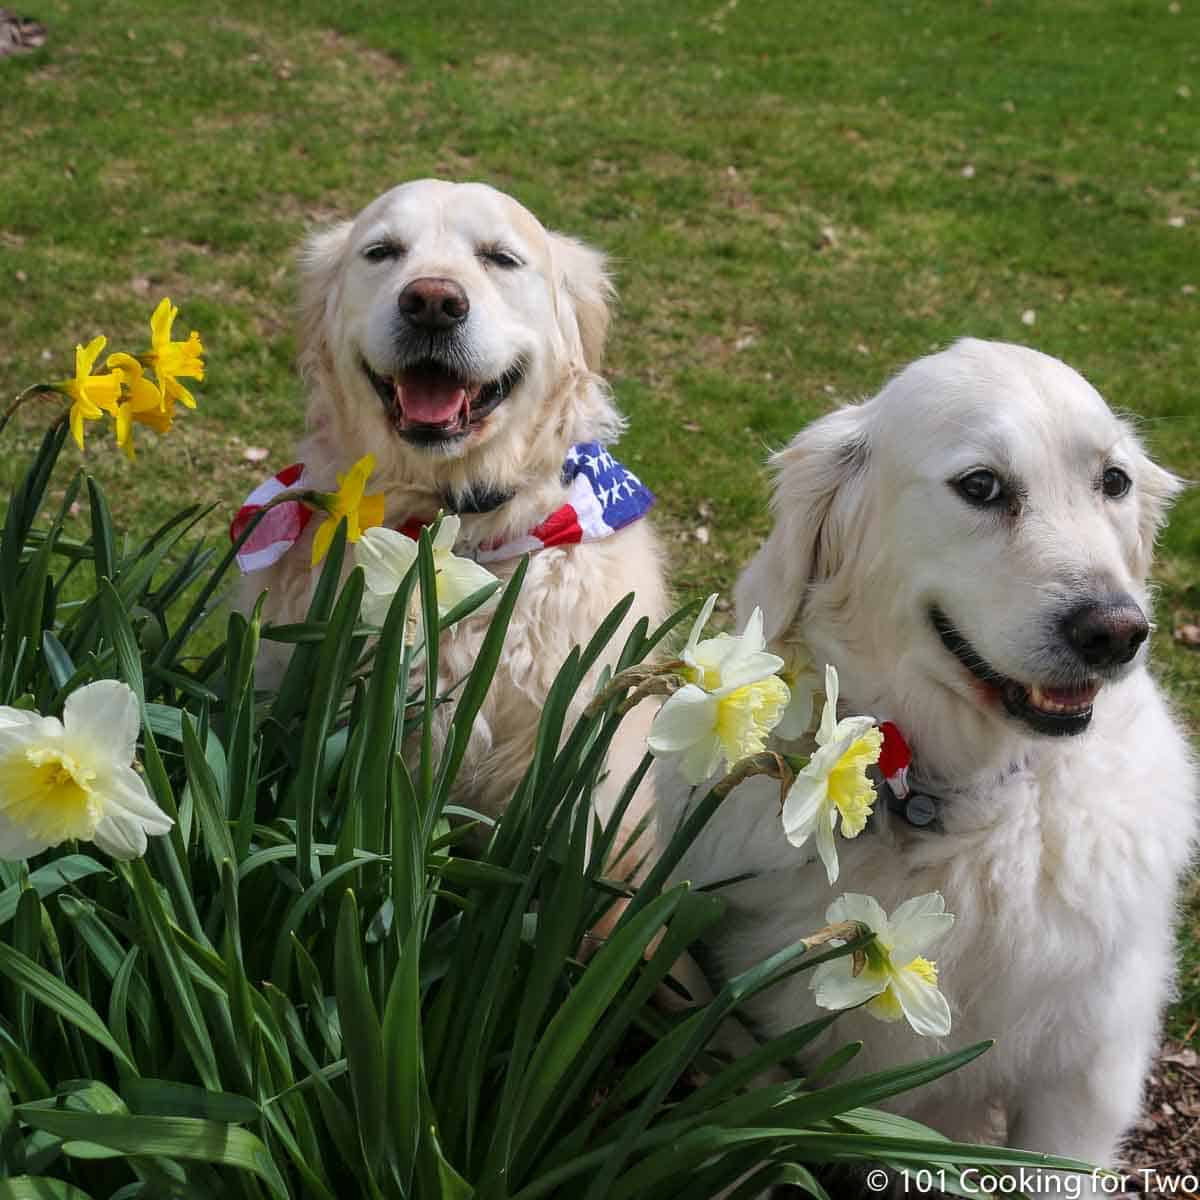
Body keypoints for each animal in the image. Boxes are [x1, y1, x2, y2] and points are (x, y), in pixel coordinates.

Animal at [662, 343, 1195, 1185]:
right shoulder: (745, 1040)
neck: (951, 808)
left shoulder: (1085, 1073)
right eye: (981, 486)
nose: (1117, 632)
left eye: (1113, 481)